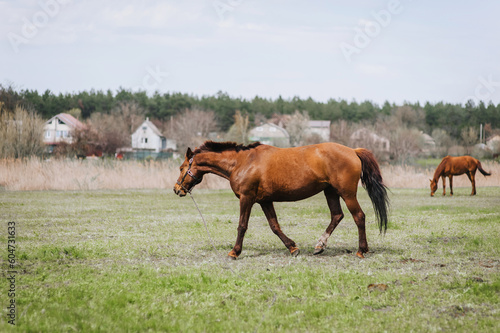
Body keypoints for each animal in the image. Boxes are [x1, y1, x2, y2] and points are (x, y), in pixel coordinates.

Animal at [174, 141, 388, 258]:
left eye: (181, 167)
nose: (177, 189)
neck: (242, 162)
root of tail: (353, 151)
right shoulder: (265, 201)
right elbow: (275, 226)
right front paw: (293, 247)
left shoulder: (246, 198)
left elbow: (242, 226)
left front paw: (235, 252)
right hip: (331, 192)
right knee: (337, 216)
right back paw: (319, 245)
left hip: (347, 193)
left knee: (359, 216)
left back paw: (361, 250)